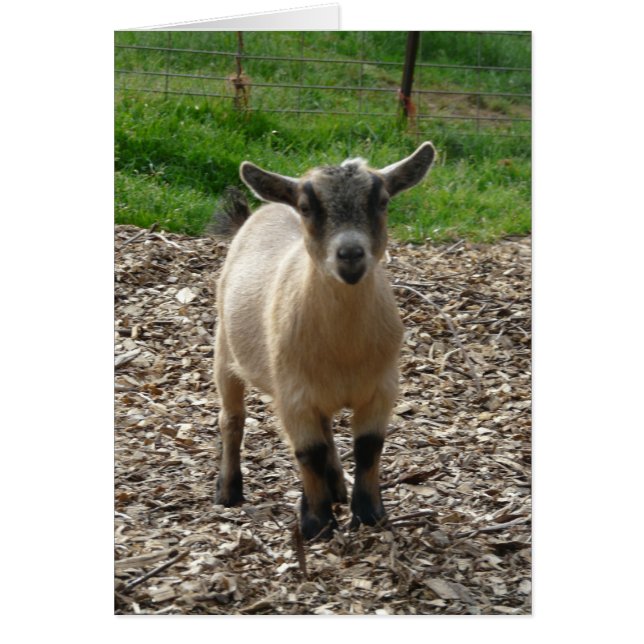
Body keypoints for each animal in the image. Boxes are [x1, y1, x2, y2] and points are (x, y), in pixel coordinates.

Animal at [213, 142, 436, 539]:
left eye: (382, 201)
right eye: (305, 207)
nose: (350, 255)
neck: (343, 349)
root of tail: (262, 211)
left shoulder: (382, 388)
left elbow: (368, 447)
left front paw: (369, 514)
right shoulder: (292, 395)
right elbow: (308, 452)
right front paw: (316, 523)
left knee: (328, 427)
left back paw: (337, 487)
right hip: (224, 348)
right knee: (232, 419)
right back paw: (229, 491)